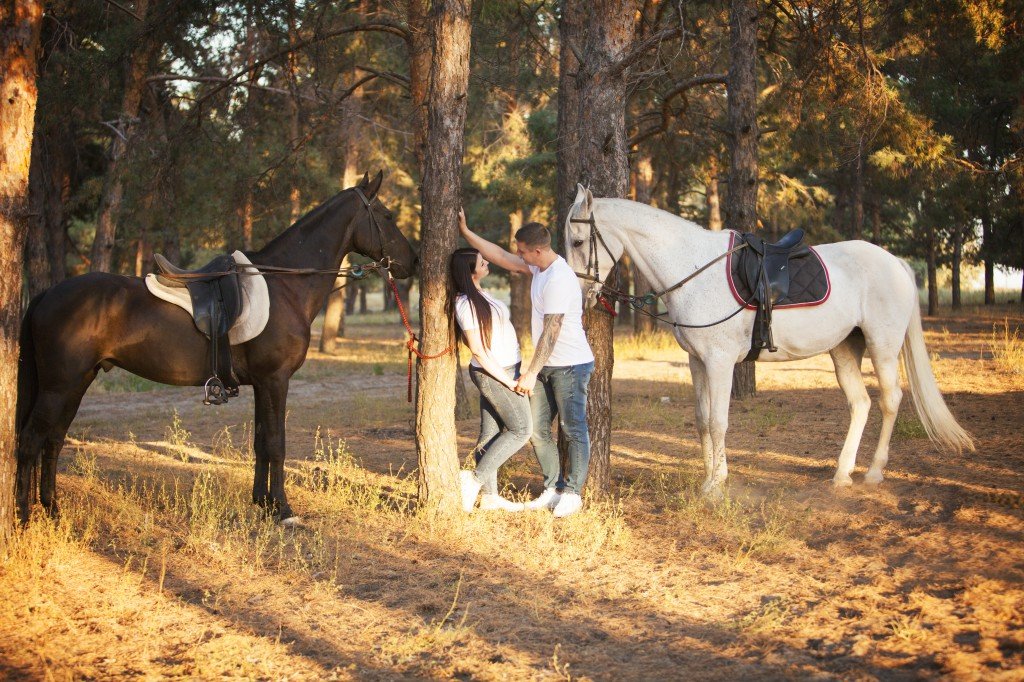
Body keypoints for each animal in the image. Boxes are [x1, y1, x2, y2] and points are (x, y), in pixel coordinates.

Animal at [16, 171, 415, 520]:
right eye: (386, 215)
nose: (412, 262)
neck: (284, 285)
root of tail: (46, 295)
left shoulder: (262, 384)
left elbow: (260, 442)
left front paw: (262, 503)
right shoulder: (276, 380)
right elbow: (277, 442)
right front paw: (283, 511)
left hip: (77, 382)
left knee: (54, 439)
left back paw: (51, 508)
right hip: (59, 386)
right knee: (31, 440)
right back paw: (23, 515)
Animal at [569, 183, 974, 497]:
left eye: (577, 240)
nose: (579, 295)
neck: (694, 268)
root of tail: (896, 263)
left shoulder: (719, 362)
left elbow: (718, 421)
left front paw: (715, 485)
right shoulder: (697, 361)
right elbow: (702, 420)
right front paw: (710, 477)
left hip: (883, 347)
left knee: (890, 401)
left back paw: (873, 473)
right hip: (844, 349)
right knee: (860, 404)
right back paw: (842, 474)